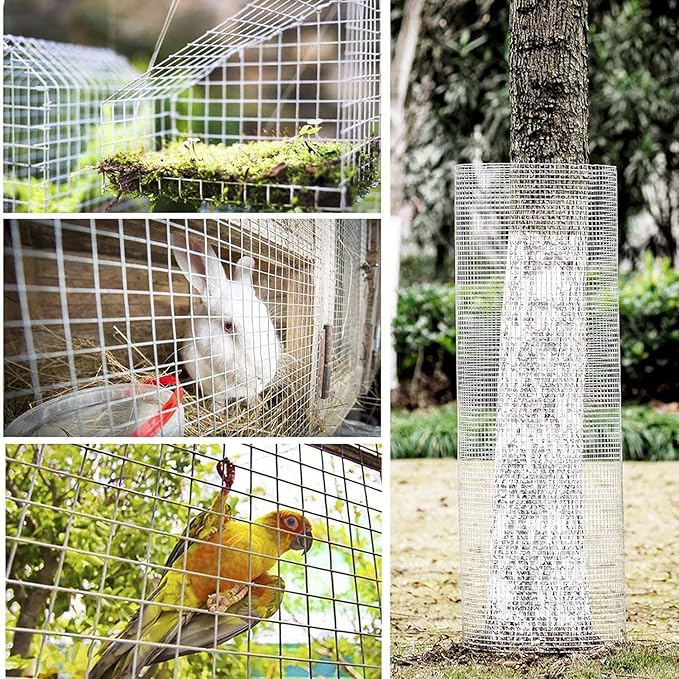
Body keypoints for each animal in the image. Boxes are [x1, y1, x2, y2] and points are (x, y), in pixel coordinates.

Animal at [170, 232, 282, 406]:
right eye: (228, 326)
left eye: (266, 318)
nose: (264, 375)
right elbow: (218, 403)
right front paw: (217, 410)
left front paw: (256, 402)